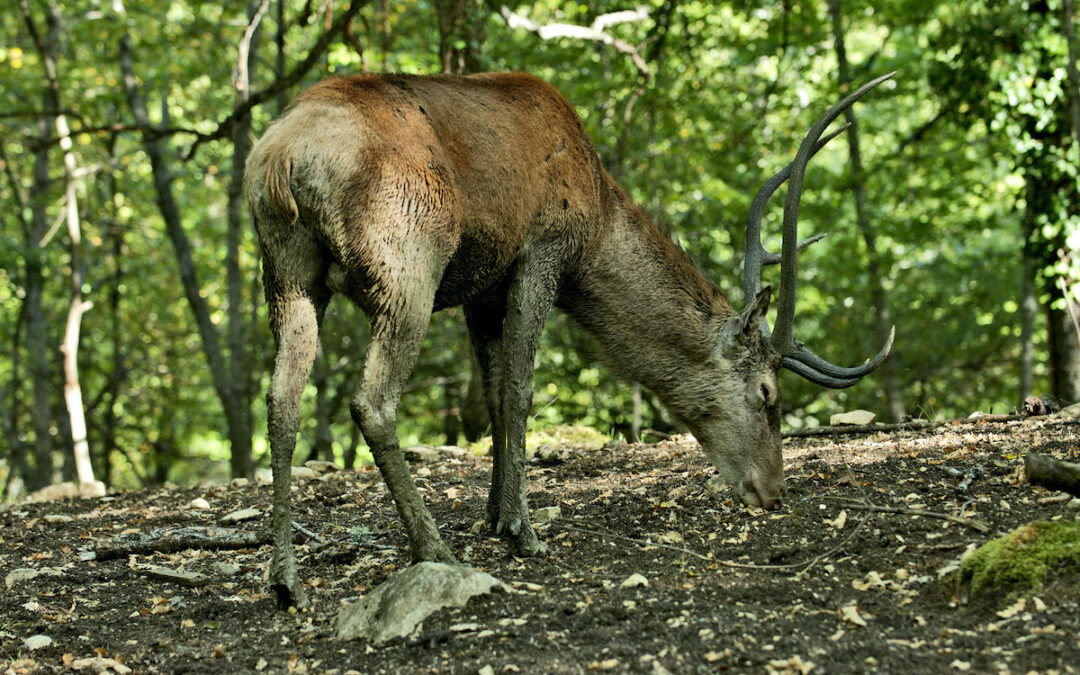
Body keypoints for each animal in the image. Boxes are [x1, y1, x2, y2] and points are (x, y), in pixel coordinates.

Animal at [245, 70, 895, 608]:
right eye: (766, 394)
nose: (772, 492)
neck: (597, 221)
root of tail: (280, 160)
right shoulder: (543, 247)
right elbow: (519, 388)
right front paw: (521, 530)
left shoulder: (482, 286)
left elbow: (493, 394)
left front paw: (492, 515)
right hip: (408, 259)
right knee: (371, 400)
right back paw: (433, 549)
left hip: (286, 272)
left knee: (281, 399)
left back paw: (286, 579)